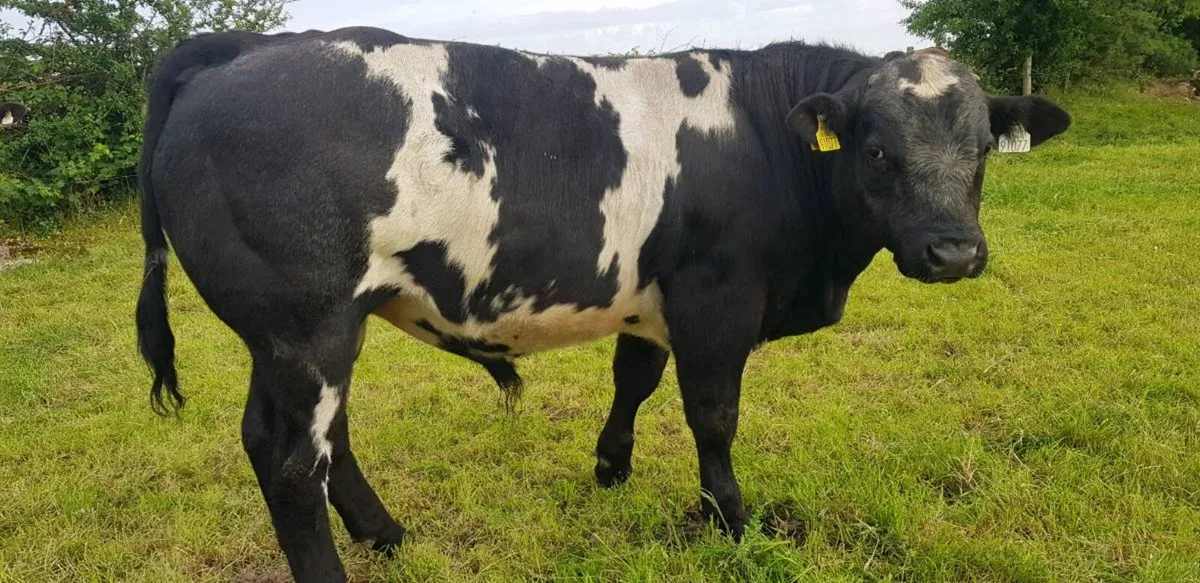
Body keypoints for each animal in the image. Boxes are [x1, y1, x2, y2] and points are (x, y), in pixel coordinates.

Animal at [136, 26, 1070, 582]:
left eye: (984, 149)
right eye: (876, 150)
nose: (954, 253)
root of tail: (239, 47)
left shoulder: (654, 299)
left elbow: (635, 381)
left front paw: (611, 467)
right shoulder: (717, 297)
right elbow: (713, 415)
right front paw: (733, 518)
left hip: (303, 335)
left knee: (308, 441)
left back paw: (386, 532)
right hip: (307, 326)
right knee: (294, 462)